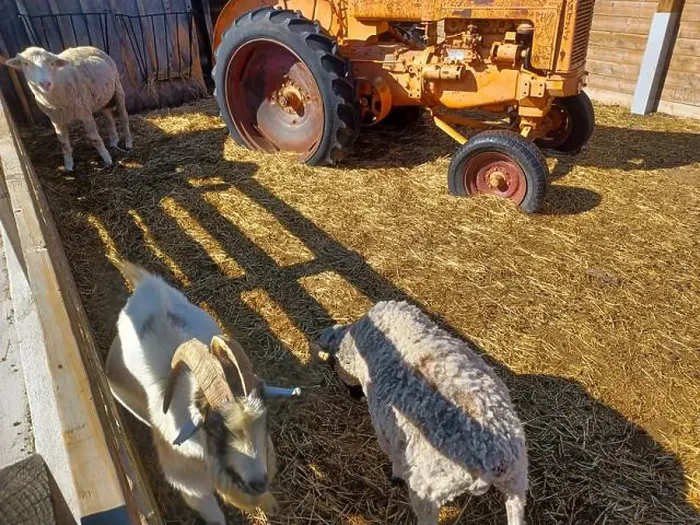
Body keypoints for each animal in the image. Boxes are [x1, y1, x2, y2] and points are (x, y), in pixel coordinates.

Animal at [3, 46, 132, 171]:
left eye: (52, 63)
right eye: (26, 64)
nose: (45, 84)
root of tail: (89, 46)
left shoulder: (85, 113)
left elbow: (95, 139)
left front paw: (107, 159)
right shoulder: (56, 121)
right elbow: (64, 144)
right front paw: (68, 166)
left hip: (118, 89)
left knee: (124, 118)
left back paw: (128, 142)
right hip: (102, 98)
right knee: (109, 119)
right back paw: (114, 141)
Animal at [313, 300, 528, 525]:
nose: (355, 396)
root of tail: (495, 459)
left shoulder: (386, 432)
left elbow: (395, 459)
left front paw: (396, 477)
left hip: (428, 493)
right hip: (518, 482)